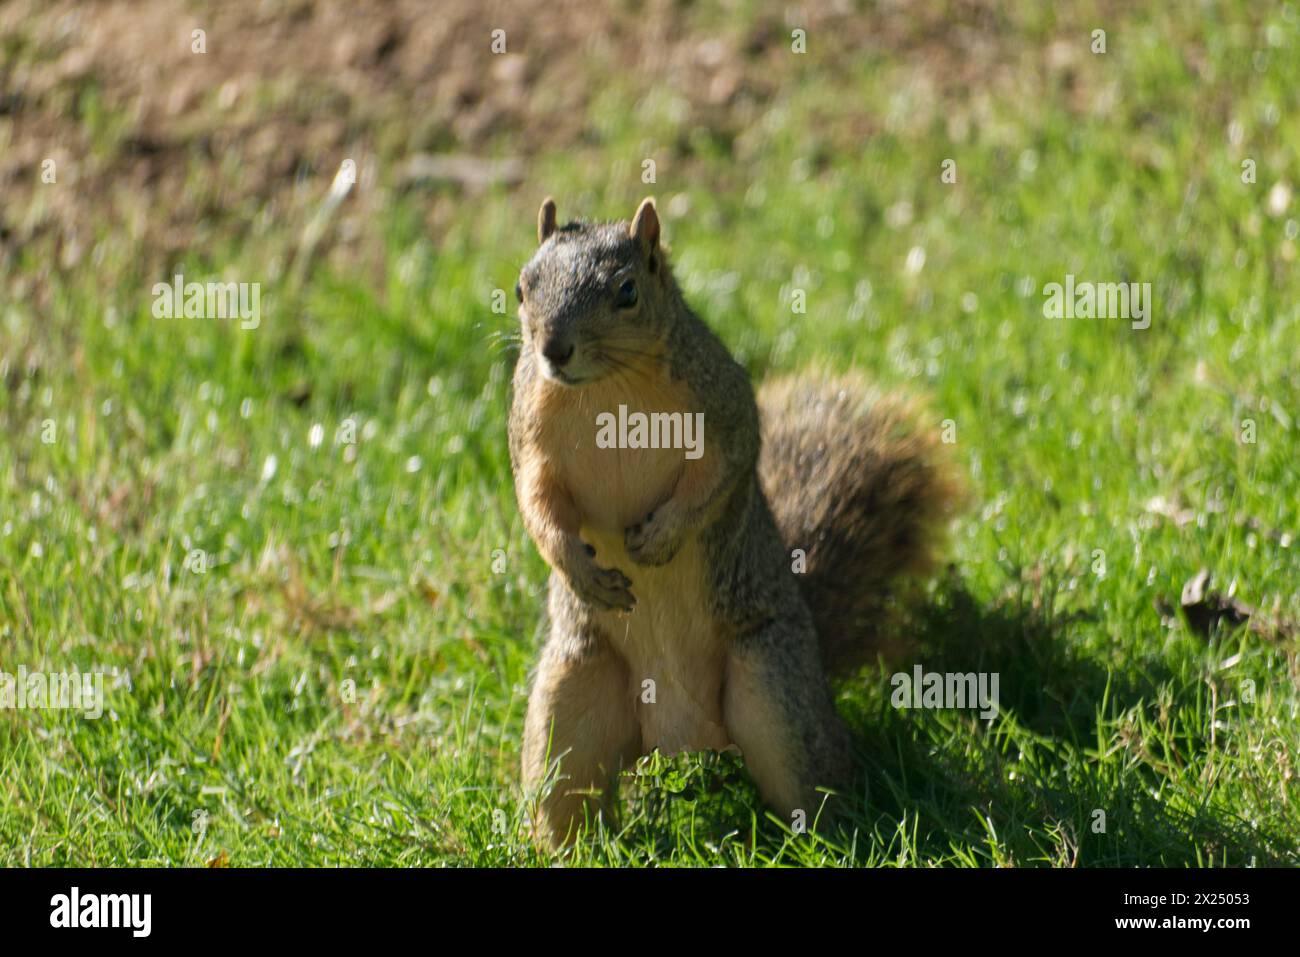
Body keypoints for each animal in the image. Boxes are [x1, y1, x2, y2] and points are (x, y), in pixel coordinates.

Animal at [506, 196, 967, 842]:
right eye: (522, 289)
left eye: (627, 291)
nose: (553, 349)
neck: (605, 389)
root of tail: (682, 741)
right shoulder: (530, 435)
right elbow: (535, 502)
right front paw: (577, 567)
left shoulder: (722, 407)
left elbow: (721, 474)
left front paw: (660, 538)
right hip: (572, 696)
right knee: (563, 794)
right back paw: (558, 848)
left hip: (773, 687)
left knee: (813, 780)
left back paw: (833, 838)